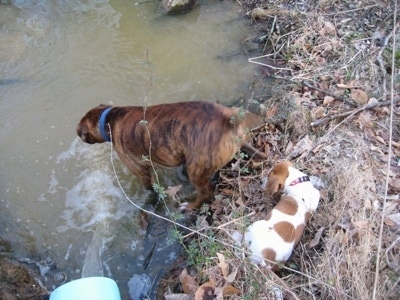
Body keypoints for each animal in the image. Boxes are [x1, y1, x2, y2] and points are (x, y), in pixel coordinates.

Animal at [77, 101, 266, 211]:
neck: (109, 118)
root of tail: (227, 120)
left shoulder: (140, 171)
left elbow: (150, 187)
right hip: (243, 144)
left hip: (196, 170)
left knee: (205, 193)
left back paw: (189, 206)